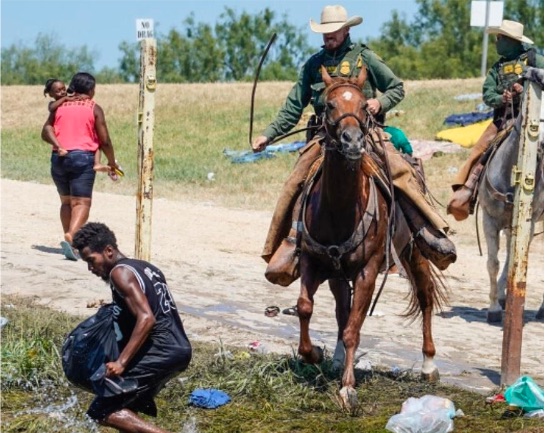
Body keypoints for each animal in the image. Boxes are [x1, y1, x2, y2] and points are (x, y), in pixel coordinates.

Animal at [298, 66, 446, 408]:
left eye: (365, 106)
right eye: (329, 105)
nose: (352, 141)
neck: (339, 209)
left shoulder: (367, 271)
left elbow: (354, 328)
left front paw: (347, 388)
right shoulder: (313, 261)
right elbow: (306, 308)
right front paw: (314, 354)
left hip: (413, 252)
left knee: (425, 296)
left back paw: (429, 365)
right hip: (338, 274)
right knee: (342, 310)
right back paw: (338, 358)